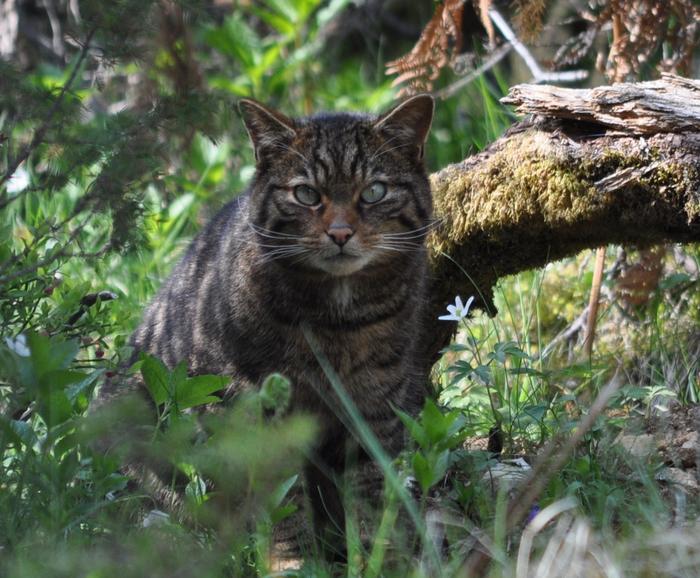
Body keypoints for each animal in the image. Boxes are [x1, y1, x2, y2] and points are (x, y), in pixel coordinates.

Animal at [110, 94, 434, 560]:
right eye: (306, 193)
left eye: (374, 191)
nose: (340, 233)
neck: (339, 322)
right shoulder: (249, 404)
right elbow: (282, 498)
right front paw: (291, 560)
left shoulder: (377, 404)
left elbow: (374, 494)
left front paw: (381, 558)